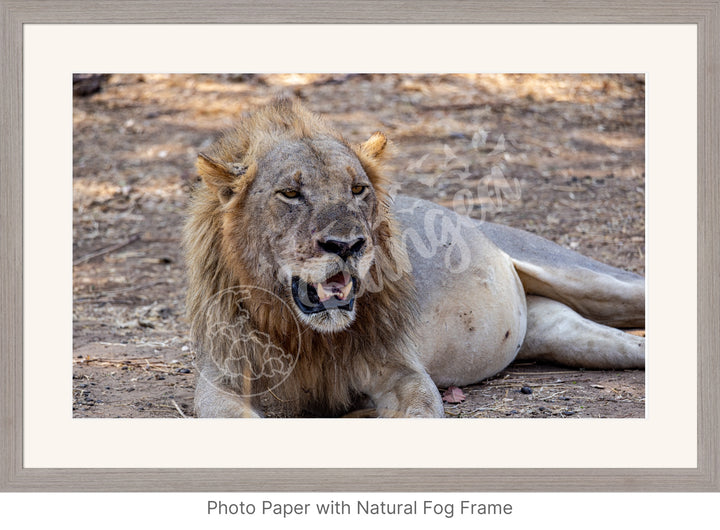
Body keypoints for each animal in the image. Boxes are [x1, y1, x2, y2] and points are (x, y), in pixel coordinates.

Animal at [183, 97, 644, 414]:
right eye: (291, 194)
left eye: (357, 189)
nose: (347, 245)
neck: (308, 336)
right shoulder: (221, 380)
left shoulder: (403, 372)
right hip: (567, 336)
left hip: (586, 277)